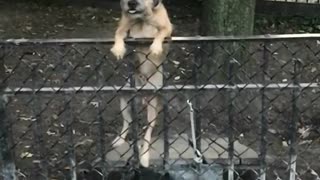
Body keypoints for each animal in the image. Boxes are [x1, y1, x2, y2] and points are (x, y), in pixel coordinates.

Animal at [109, 0, 172, 167]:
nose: (131, 3)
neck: (142, 20)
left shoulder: (166, 28)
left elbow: (160, 33)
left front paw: (155, 47)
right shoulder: (125, 26)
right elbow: (119, 32)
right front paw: (118, 48)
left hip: (152, 107)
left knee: (147, 134)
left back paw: (144, 157)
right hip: (125, 99)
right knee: (128, 122)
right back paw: (119, 140)